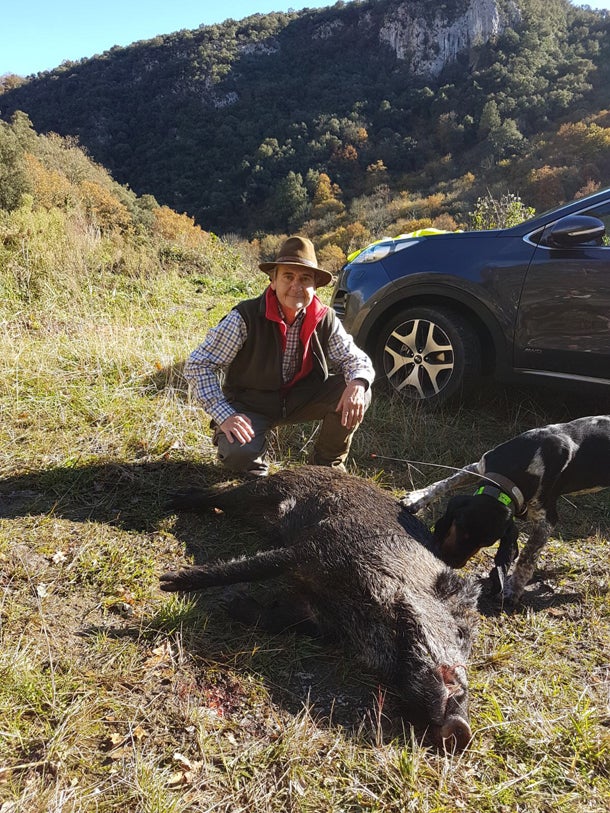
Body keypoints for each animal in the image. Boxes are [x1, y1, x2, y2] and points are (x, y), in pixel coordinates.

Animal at [400, 418, 608, 604]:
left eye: (487, 543)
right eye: (459, 528)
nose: (452, 563)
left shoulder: (547, 520)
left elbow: (527, 556)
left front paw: (513, 588)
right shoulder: (479, 467)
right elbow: (447, 482)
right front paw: (418, 497)